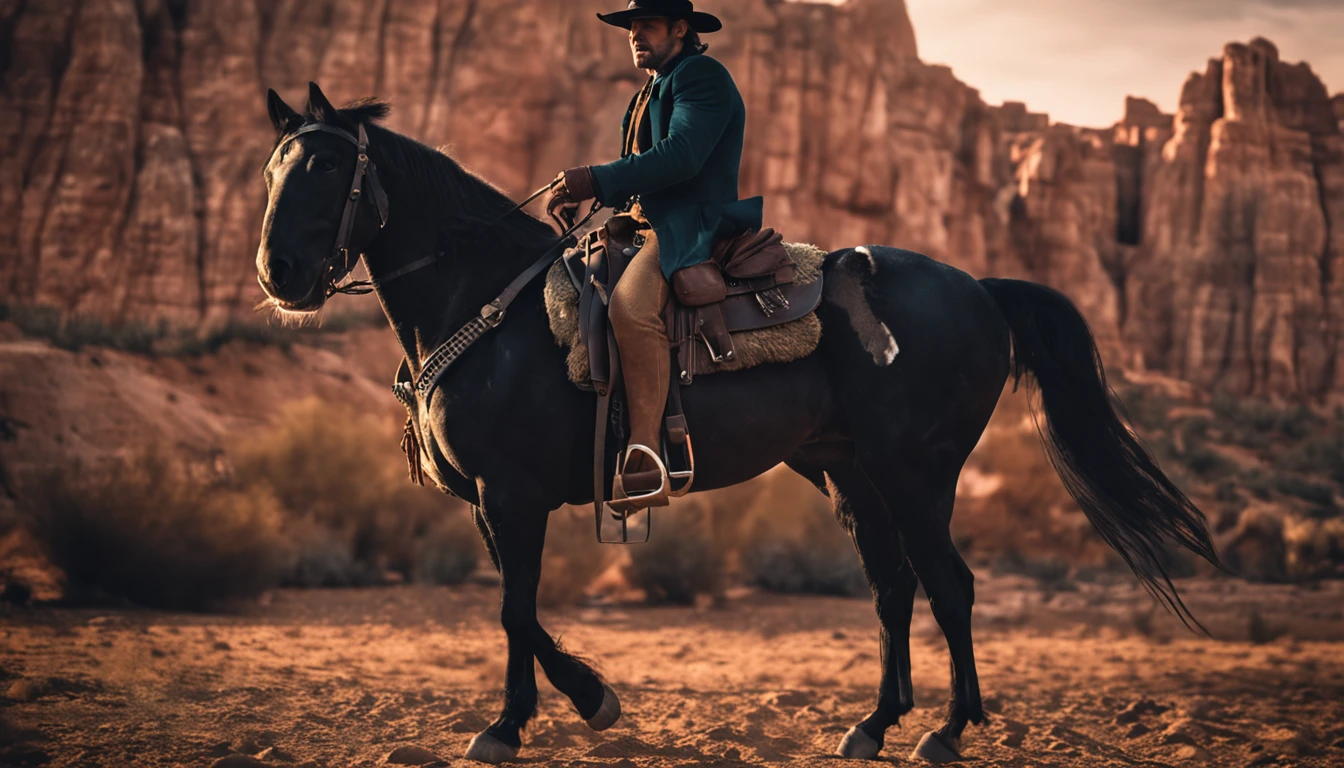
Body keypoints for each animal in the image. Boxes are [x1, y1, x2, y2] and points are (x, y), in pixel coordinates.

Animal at [252, 84, 1220, 763]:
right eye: (270, 170)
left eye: (328, 169)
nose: (278, 271)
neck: (492, 304)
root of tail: (980, 288)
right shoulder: (492, 501)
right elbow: (517, 609)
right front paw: (560, 710)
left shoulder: (511, 493)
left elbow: (513, 609)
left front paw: (538, 716)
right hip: (851, 472)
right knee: (893, 588)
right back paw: (874, 724)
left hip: (917, 473)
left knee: (950, 586)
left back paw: (947, 730)